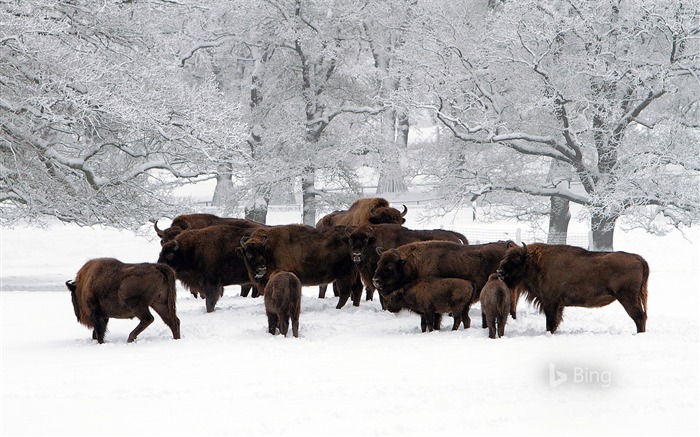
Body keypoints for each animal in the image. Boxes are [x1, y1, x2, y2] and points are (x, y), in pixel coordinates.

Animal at [494, 242, 648, 334]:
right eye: (505, 257)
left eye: (515, 259)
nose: (500, 272)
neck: (535, 263)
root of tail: (638, 259)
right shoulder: (558, 305)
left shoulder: (551, 303)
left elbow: (551, 323)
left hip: (627, 298)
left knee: (639, 317)